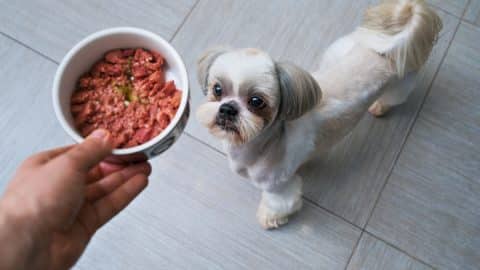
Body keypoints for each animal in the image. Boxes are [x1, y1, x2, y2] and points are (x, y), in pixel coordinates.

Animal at [196, 0, 442, 229]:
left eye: (257, 102)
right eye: (217, 89)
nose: (227, 108)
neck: (262, 144)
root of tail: (389, 47)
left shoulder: (279, 188)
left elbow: (279, 204)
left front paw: (269, 219)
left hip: (401, 84)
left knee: (393, 98)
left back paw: (380, 107)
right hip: (340, 50)